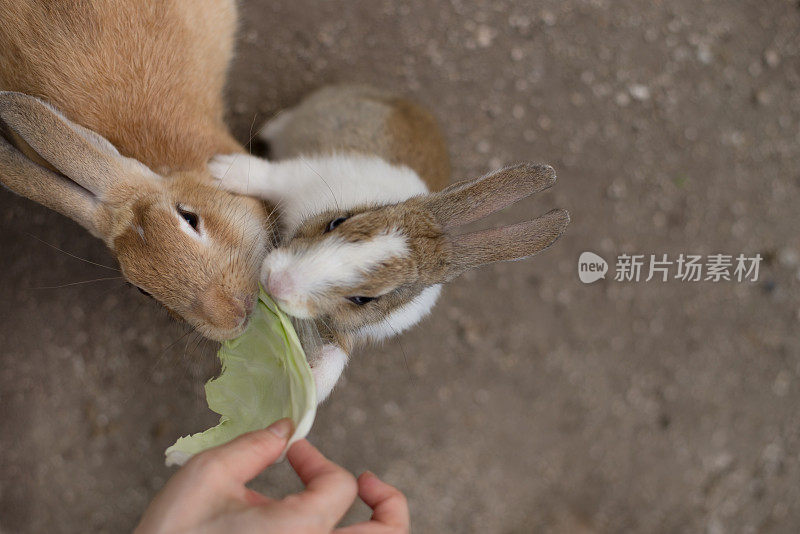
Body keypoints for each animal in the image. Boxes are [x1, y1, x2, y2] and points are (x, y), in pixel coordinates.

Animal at [206, 85, 568, 402]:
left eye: (363, 299)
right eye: (337, 222)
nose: (277, 282)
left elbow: (336, 357)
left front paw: (307, 390)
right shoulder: (299, 177)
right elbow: (268, 176)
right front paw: (221, 170)